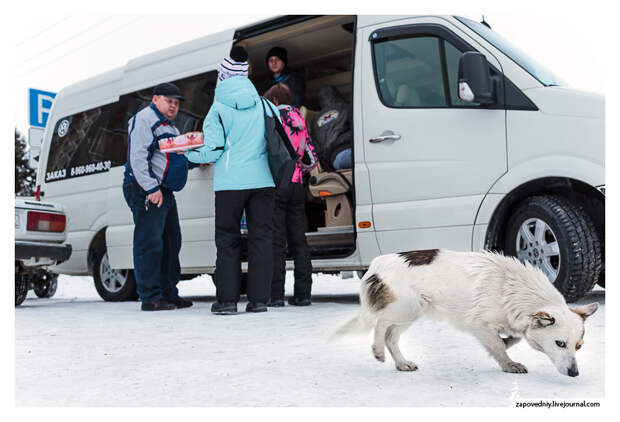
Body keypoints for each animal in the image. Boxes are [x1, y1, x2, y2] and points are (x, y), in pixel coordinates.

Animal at [334, 247, 600, 376]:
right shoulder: (479, 324)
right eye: (560, 344)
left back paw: (401, 363)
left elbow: (509, 338)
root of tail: (376, 265)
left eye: (579, 346)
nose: (574, 373)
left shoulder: (508, 324)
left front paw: (508, 343)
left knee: (391, 337)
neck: (515, 291)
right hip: (405, 309)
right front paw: (509, 364)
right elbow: (499, 346)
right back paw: (378, 351)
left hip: (411, 313)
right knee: (380, 324)